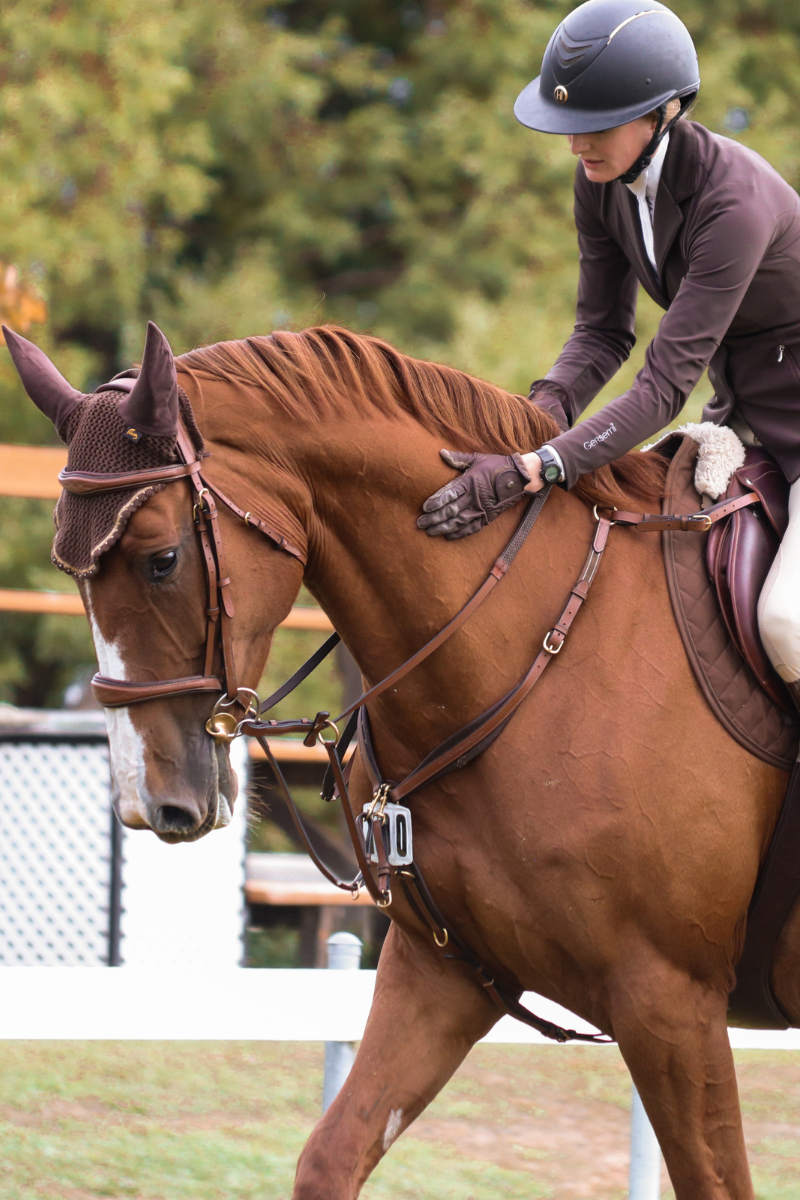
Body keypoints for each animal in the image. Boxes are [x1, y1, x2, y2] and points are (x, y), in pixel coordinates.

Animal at [8, 321, 799, 1200]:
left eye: (162, 559)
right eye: (70, 572)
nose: (151, 803)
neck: (530, 658)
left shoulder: (669, 1002)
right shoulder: (442, 971)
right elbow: (330, 1155)